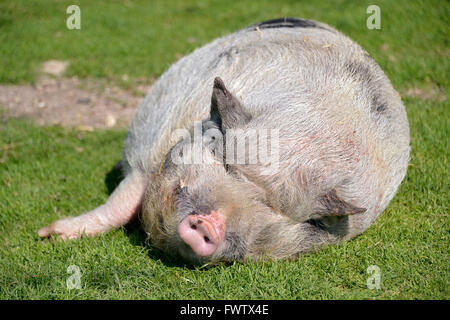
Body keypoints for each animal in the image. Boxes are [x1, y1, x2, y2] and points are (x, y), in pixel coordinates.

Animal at [39, 16, 412, 262]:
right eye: (225, 161)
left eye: (275, 209)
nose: (210, 223)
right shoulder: (154, 143)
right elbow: (124, 197)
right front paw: (48, 235)